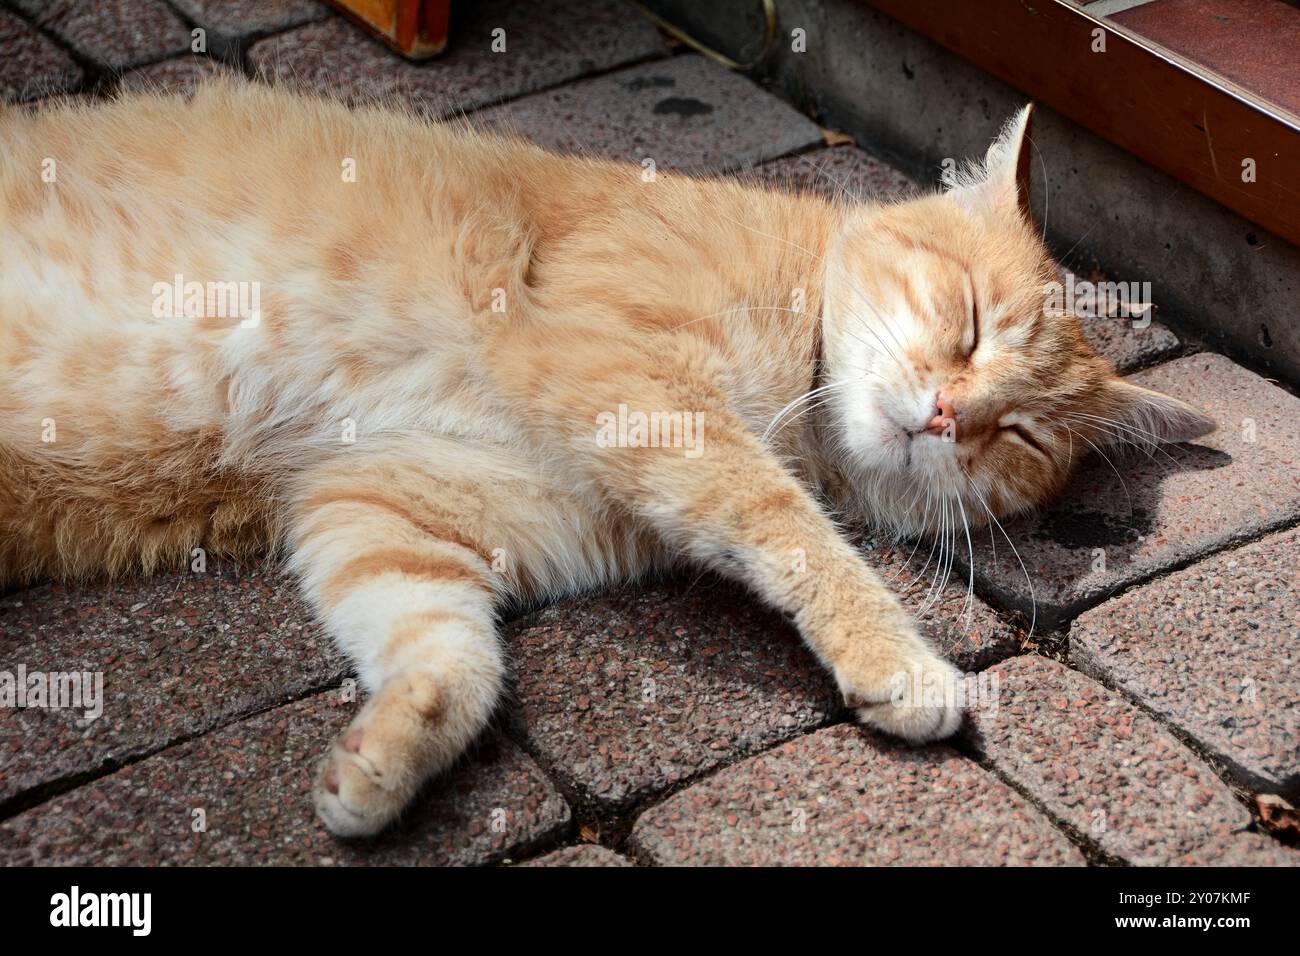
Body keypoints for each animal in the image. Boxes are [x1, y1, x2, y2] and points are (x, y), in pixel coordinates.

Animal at [0, 83, 1211, 837]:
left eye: (1022, 434)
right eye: (966, 322)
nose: (954, 414)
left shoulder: (382, 505)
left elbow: (452, 658)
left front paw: (382, 760)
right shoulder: (634, 378)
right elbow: (791, 529)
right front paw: (901, 661)